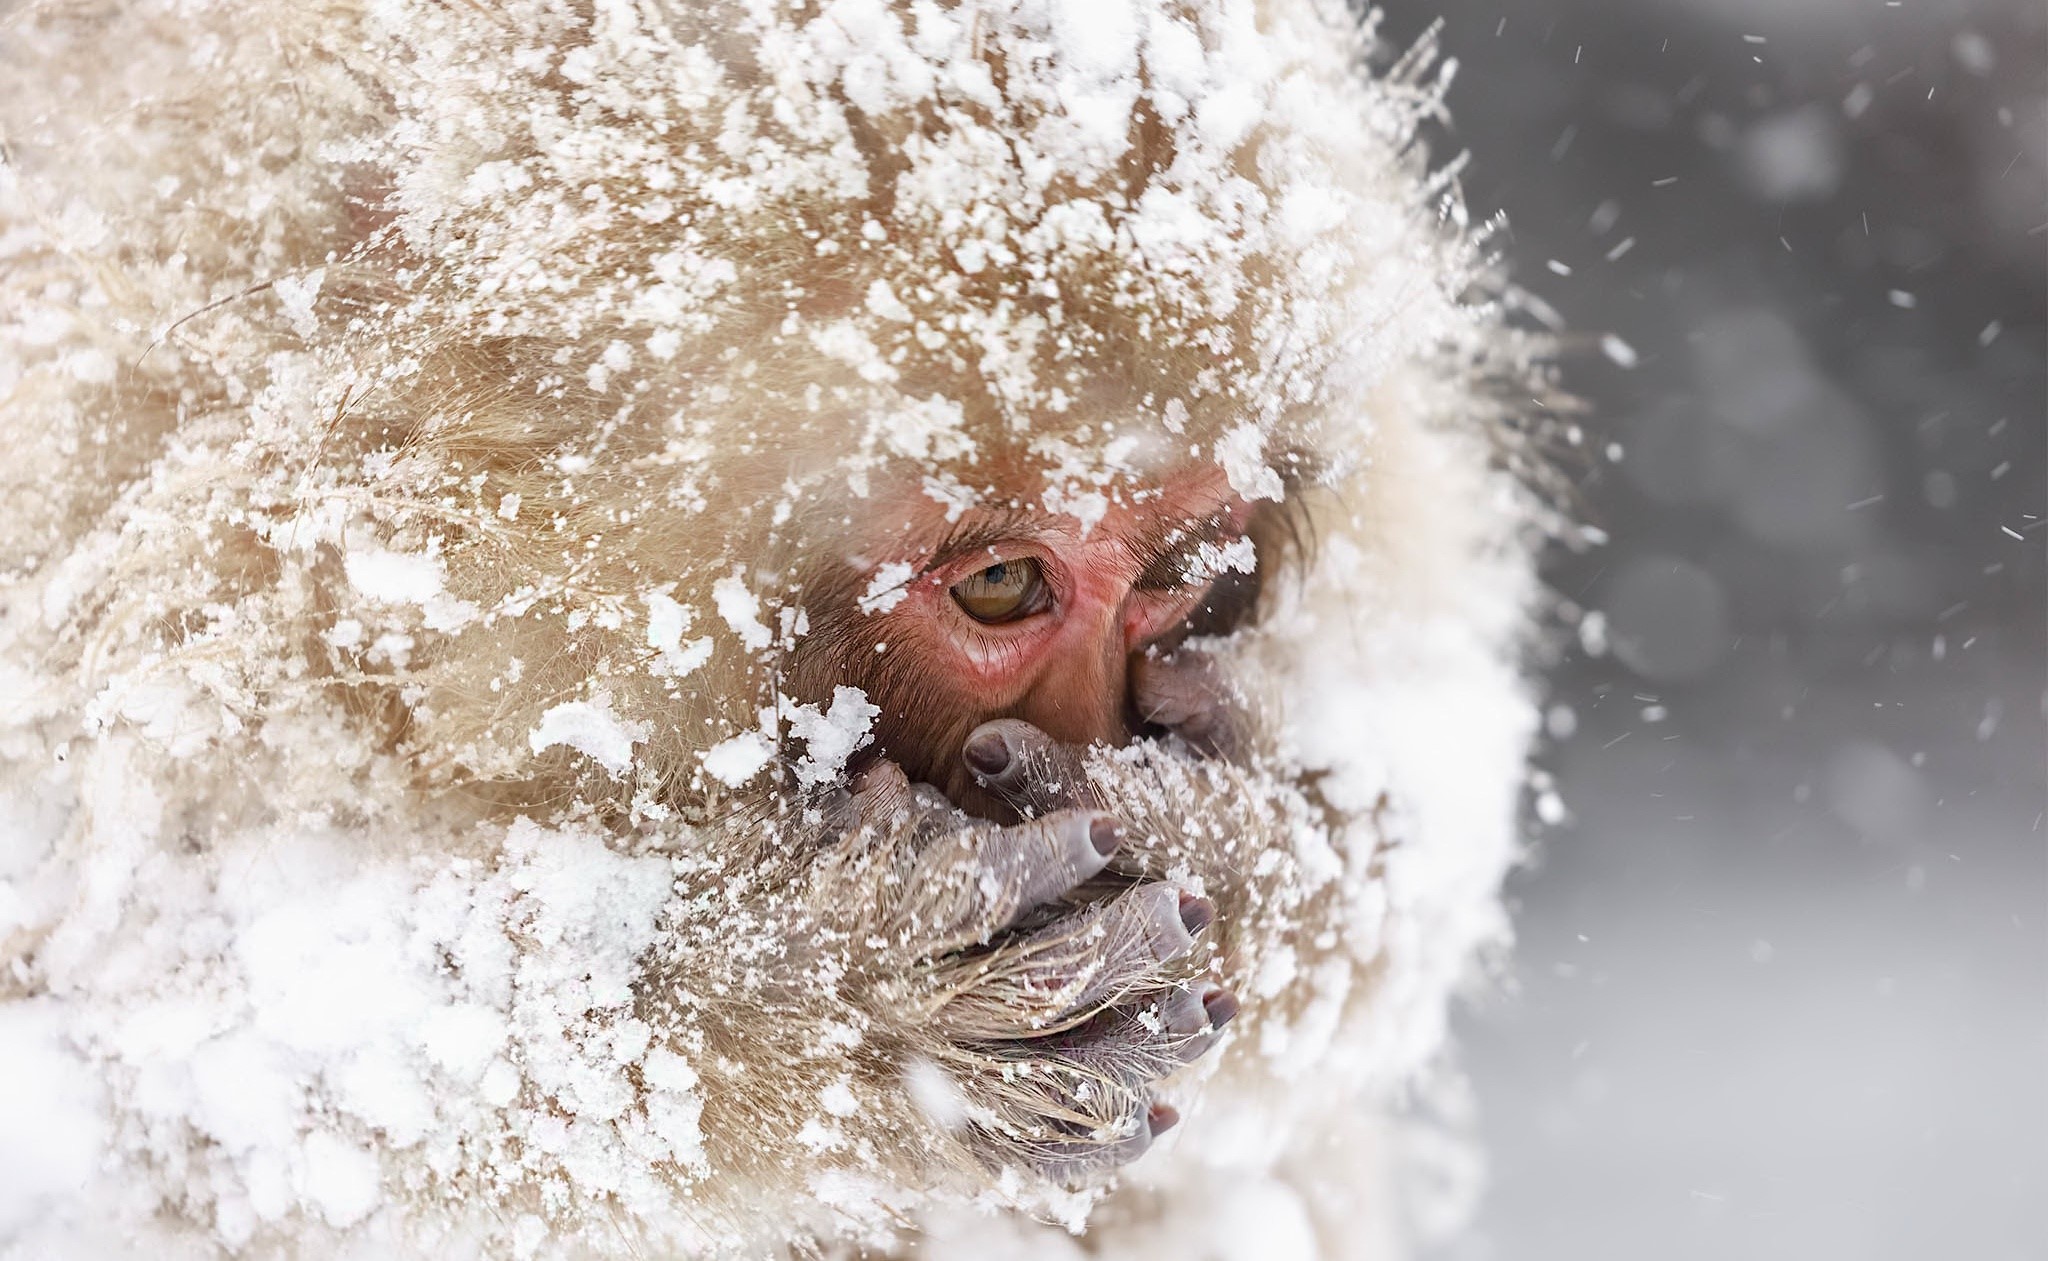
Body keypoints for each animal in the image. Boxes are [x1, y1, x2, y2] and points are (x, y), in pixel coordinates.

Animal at [0, 0, 1554, 1258]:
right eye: (1004, 587)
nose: (1086, 730)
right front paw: (851, 997)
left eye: (1177, 574)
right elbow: (191, 1106)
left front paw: (1234, 842)